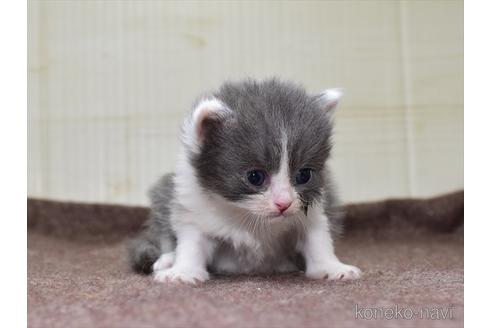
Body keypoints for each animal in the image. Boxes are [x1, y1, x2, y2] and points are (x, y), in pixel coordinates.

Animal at [129, 78, 362, 284]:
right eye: (255, 177)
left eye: (304, 175)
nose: (284, 204)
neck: (248, 216)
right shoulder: (194, 209)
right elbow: (192, 242)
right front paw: (182, 270)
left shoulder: (313, 209)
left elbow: (318, 239)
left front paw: (332, 267)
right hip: (164, 193)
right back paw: (167, 259)